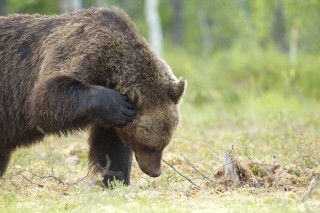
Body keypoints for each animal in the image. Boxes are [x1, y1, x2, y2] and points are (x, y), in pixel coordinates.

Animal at [0, 7, 185, 186]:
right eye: (149, 146)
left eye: (165, 144)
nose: (155, 172)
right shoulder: (76, 56)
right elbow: (48, 96)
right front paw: (120, 104)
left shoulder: (111, 120)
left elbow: (111, 146)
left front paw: (117, 180)